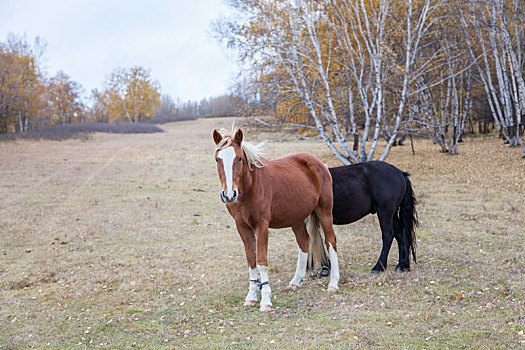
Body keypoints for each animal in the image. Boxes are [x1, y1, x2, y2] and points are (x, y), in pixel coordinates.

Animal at [211, 129, 338, 312]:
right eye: (217, 159)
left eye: (239, 158)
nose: (229, 195)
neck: (250, 187)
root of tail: (318, 163)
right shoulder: (242, 227)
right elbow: (251, 260)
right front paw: (251, 297)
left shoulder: (261, 226)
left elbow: (261, 261)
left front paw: (265, 301)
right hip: (296, 218)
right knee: (304, 242)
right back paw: (295, 281)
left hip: (324, 211)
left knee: (330, 241)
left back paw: (334, 284)